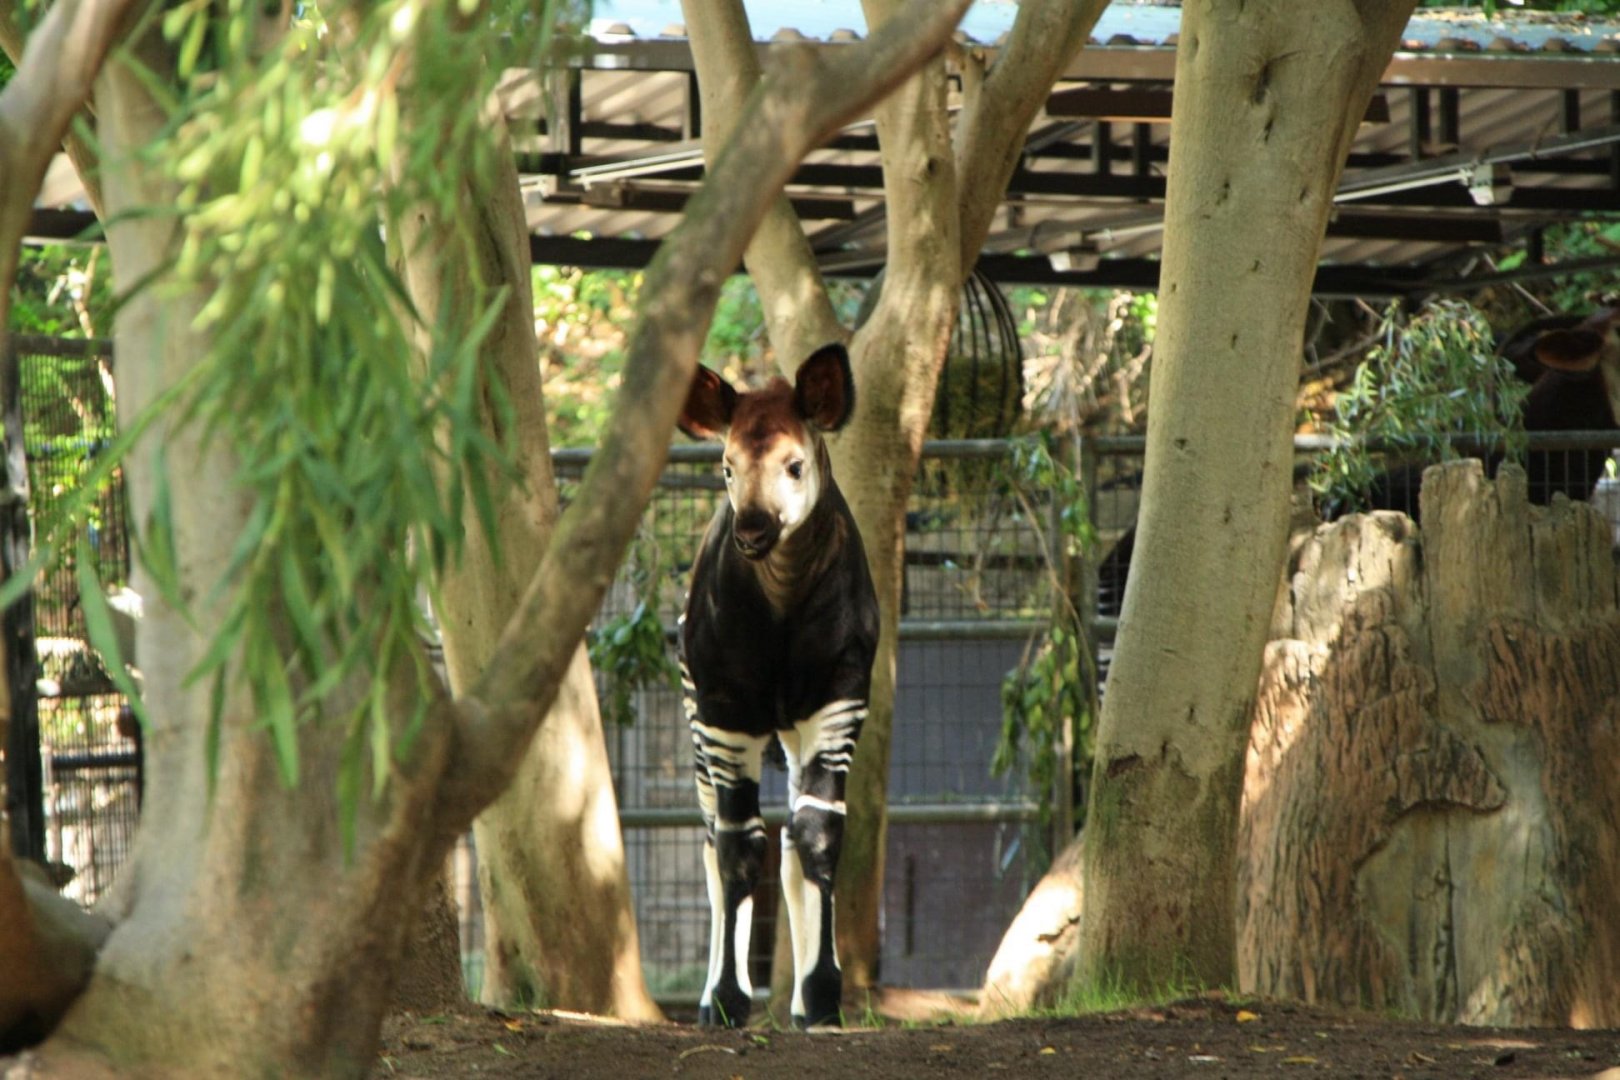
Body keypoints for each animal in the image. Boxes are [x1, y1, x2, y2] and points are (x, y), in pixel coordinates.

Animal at [676, 343, 880, 1030]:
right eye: (727, 467)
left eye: (795, 465)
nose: (754, 530)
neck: (784, 599)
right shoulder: (724, 712)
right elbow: (739, 846)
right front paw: (729, 999)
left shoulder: (837, 704)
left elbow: (817, 832)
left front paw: (821, 998)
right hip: (697, 726)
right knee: (711, 840)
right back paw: (710, 997)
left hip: (790, 730)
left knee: (791, 836)